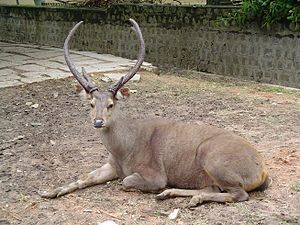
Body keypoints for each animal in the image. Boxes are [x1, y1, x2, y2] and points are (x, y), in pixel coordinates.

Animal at [38, 19, 270, 207]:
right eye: (91, 104)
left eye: (111, 104)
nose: (98, 122)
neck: (124, 151)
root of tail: (263, 171)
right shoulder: (111, 165)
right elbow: (85, 177)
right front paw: (48, 192)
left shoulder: (155, 174)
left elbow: (126, 181)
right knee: (212, 187)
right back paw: (172, 195)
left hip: (214, 159)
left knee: (239, 194)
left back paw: (187, 197)